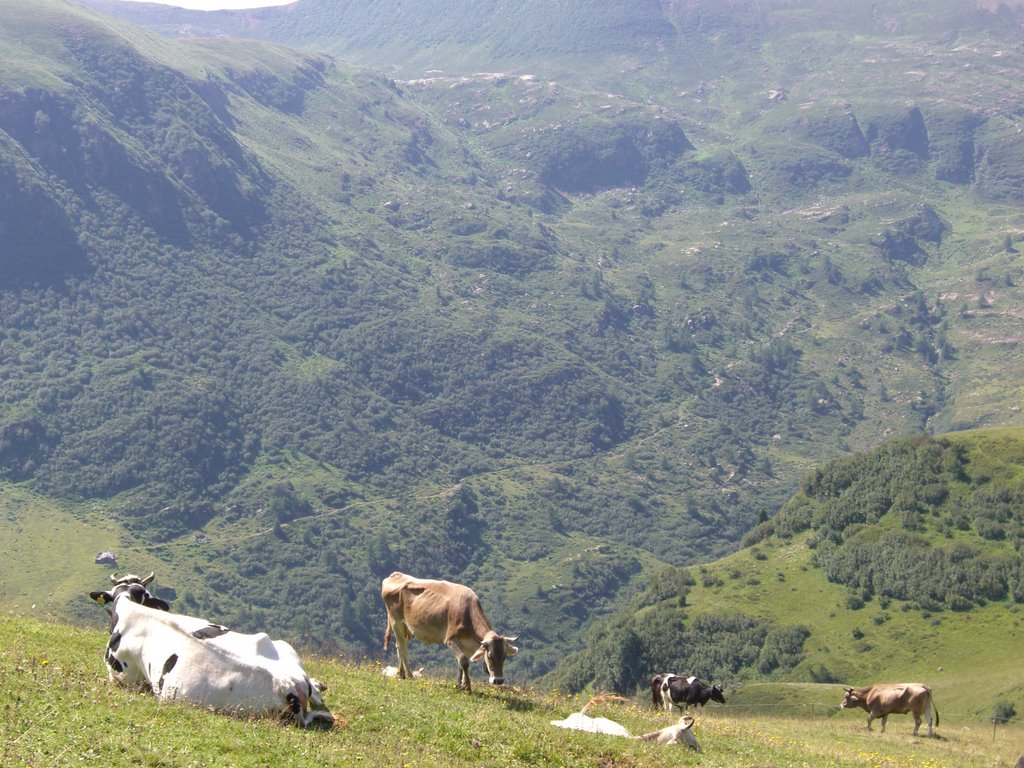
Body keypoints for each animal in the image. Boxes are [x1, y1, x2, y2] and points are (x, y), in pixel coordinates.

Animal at [90, 581, 333, 729]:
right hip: (285, 648)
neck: (133, 611)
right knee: (316, 694)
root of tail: (291, 684)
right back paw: (319, 685)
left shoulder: (123, 678)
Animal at [380, 573, 516, 696]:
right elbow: (464, 662)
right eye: (490, 656)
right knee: (402, 648)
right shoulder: (450, 639)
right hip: (396, 621)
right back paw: (409, 675)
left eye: (504, 656)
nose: (498, 681)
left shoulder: (466, 643)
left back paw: (401, 673)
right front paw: (467, 687)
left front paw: (459, 685)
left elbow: (461, 663)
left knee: (399, 646)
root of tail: (396, 575)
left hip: (407, 628)